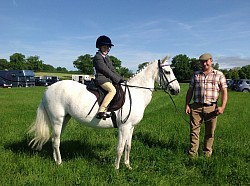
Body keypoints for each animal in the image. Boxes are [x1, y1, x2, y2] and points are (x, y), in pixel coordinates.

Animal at [28, 56, 180, 169]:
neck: (136, 93)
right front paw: (116, 169)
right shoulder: (124, 127)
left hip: (64, 119)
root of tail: (49, 88)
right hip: (57, 120)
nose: (177, 90)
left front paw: (128, 166)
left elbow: (128, 146)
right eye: (167, 72)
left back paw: (56, 160)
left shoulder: (131, 127)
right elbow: (120, 147)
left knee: (55, 139)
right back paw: (60, 163)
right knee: (55, 141)